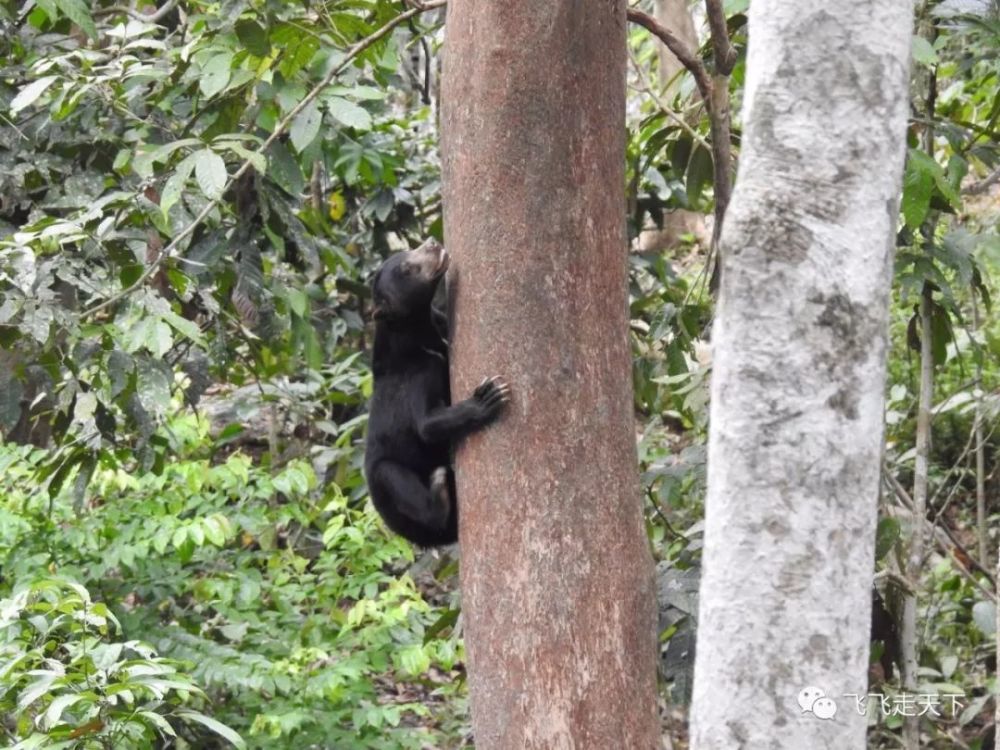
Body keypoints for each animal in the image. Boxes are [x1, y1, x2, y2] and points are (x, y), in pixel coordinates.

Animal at [364, 241, 512, 548]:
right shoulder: (420, 372)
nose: (431, 243)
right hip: (388, 479)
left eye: (407, 252)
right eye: (407, 269)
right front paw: (489, 395)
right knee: (394, 476)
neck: (419, 332)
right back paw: (439, 488)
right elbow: (426, 424)